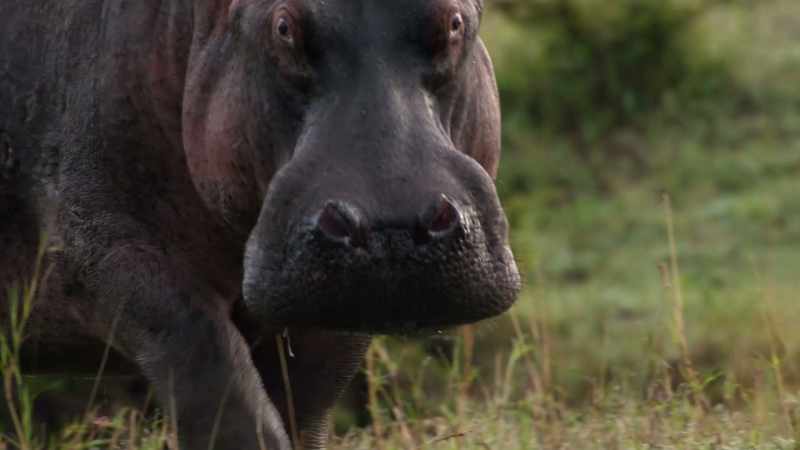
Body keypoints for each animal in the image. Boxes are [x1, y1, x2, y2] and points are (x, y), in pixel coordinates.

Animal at [0, 0, 520, 448]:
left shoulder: (332, 321)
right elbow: (229, 402)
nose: (391, 227)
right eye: (283, 26)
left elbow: (302, 416)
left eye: (454, 22)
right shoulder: (111, 251)